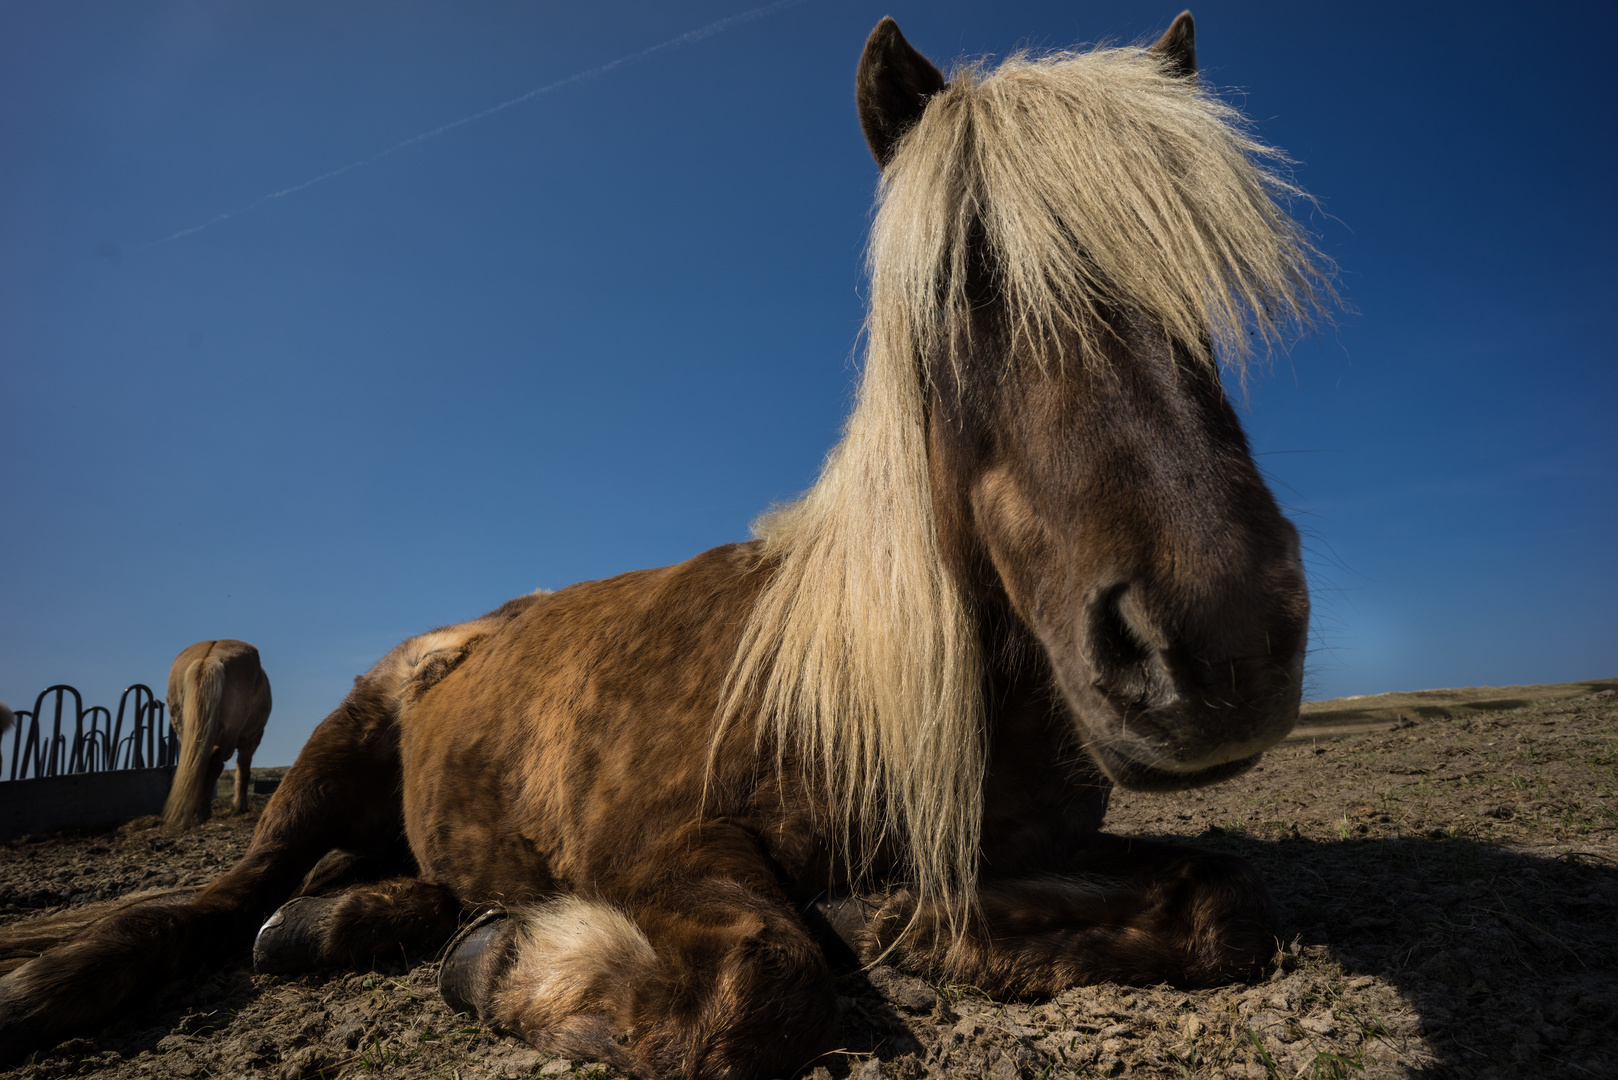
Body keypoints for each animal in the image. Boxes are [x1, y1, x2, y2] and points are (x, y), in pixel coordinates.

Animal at [160, 637, 271, 835]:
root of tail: (208, 658)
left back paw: (195, 812)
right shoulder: (252, 738)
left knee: (197, 764)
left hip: (187, 731)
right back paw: (202, 812)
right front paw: (239, 806)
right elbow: (244, 770)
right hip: (230, 738)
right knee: (214, 765)